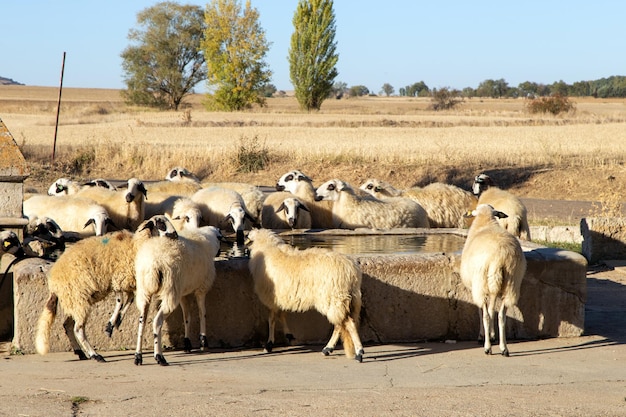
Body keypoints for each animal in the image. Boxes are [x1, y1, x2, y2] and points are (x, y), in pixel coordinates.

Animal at [35, 214, 178, 360]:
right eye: (161, 224)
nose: (176, 235)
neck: (135, 246)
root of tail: (53, 282)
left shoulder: (128, 282)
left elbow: (129, 300)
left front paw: (117, 322)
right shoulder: (118, 278)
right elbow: (120, 301)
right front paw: (110, 325)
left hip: (74, 300)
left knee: (67, 325)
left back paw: (80, 352)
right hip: (78, 296)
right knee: (78, 329)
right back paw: (95, 355)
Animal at [132, 224, 219, 364]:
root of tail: (153, 264)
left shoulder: (182, 293)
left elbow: (187, 316)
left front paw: (187, 343)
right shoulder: (201, 289)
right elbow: (202, 313)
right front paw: (203, 341)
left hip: (145, 292)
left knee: (142, 323)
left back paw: (138, 356)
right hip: (170, 290)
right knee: (157, 322)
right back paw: (159, 356)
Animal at [244, 228, 360, 360]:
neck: (266, 247)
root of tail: (350, 271)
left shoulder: (271, 298)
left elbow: (272, 319)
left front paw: (269, 344)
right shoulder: (281, 297)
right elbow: (281, 315)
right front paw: (288, 335)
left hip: (333, 298)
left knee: (346, 323)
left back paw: (357, 352)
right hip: (349, 299)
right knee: (342, 324)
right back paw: (329, 349)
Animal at [458, 203, 528, 356]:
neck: (485, 220)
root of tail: (499, 257)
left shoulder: (475, 288)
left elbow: (482, 312)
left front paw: (484, 335)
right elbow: (492, 311)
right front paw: (492, 334)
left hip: (482, 283)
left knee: (486, 315)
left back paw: (487, 347)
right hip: (511, 284)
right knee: (501, 316)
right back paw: (504, 348)